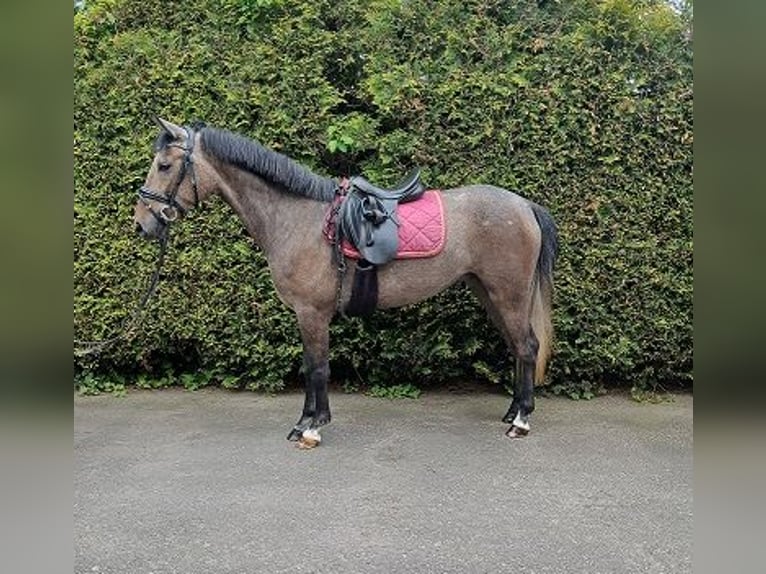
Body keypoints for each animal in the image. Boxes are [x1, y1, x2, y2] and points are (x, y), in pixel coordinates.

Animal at [133, 117, 558, 447]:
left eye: (165, 165)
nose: (142, 224)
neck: (296, 217)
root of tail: (525, 206)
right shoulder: (307, 315)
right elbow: (311, 366)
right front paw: (305, 423)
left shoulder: (312, 313)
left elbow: (318, 368)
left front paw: (311, 428)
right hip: (489, 292)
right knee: (518, 348)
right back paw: (512, 413)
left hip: (508, 294)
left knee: (527, 346)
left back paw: (521, 421)